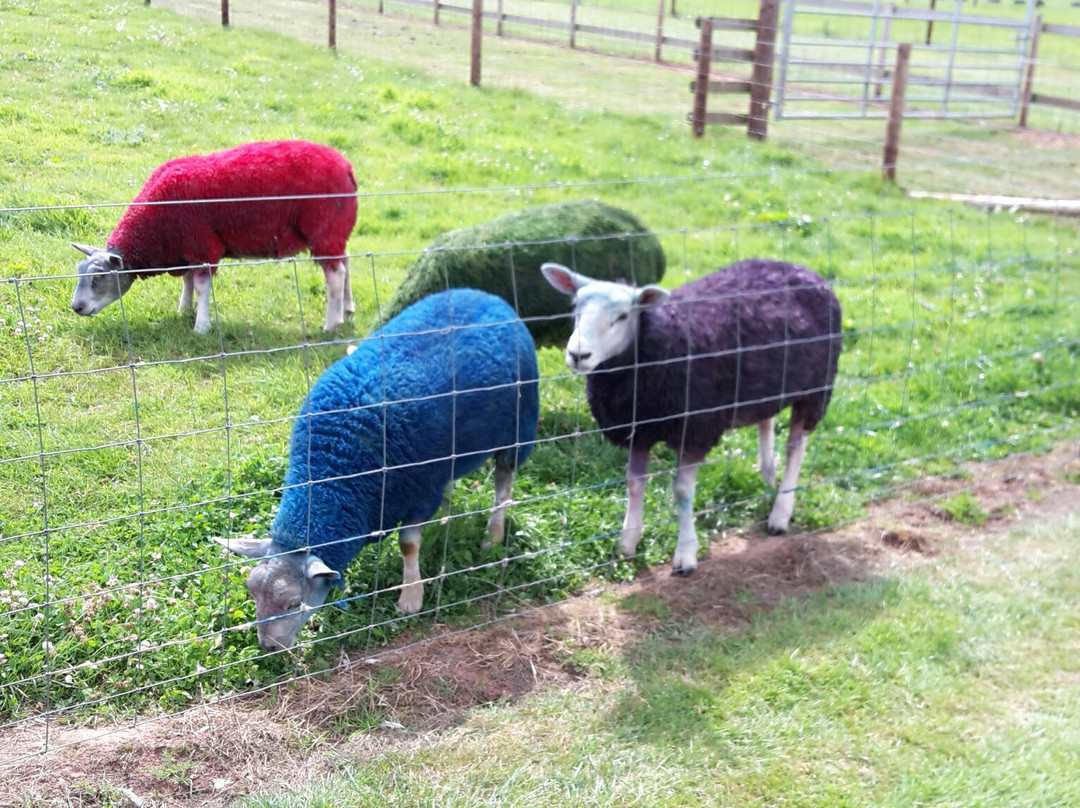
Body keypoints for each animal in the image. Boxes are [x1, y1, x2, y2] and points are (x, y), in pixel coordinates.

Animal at [70, 139, 358, 334]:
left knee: (335, 275)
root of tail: (345, 166)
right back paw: (347, 309)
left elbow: (200, 286)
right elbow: (187, 281)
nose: (76, 307)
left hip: (324, 229)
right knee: (346, 263)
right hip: (336, 231)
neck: (153, 228)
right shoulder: (188, 247)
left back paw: (331, 324)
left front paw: (201, 326)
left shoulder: (203, 245)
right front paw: (184, 310)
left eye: (98, 278)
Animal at [211, 289, 540, 648]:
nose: (268, 646)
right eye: (252, 592)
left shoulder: (418, 492)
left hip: (518, 429)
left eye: (294, 603)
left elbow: (408, 545)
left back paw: (493, 535)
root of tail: (488, 296)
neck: (337, 471)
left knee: (503, 484)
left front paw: (410, 597)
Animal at [540, 259, 842, 574]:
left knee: (796, 447)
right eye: (575, 307)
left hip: (816, 389)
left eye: (623, 316)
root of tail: (798, 267)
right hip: (767, 385)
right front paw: (627, 542)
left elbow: (683, 491)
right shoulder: (640, 429)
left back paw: (781, 512)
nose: (578, 354)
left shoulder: (695, 428)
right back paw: (768, 474)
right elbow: (634, 482)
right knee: (766, 420)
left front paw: (685, 553)